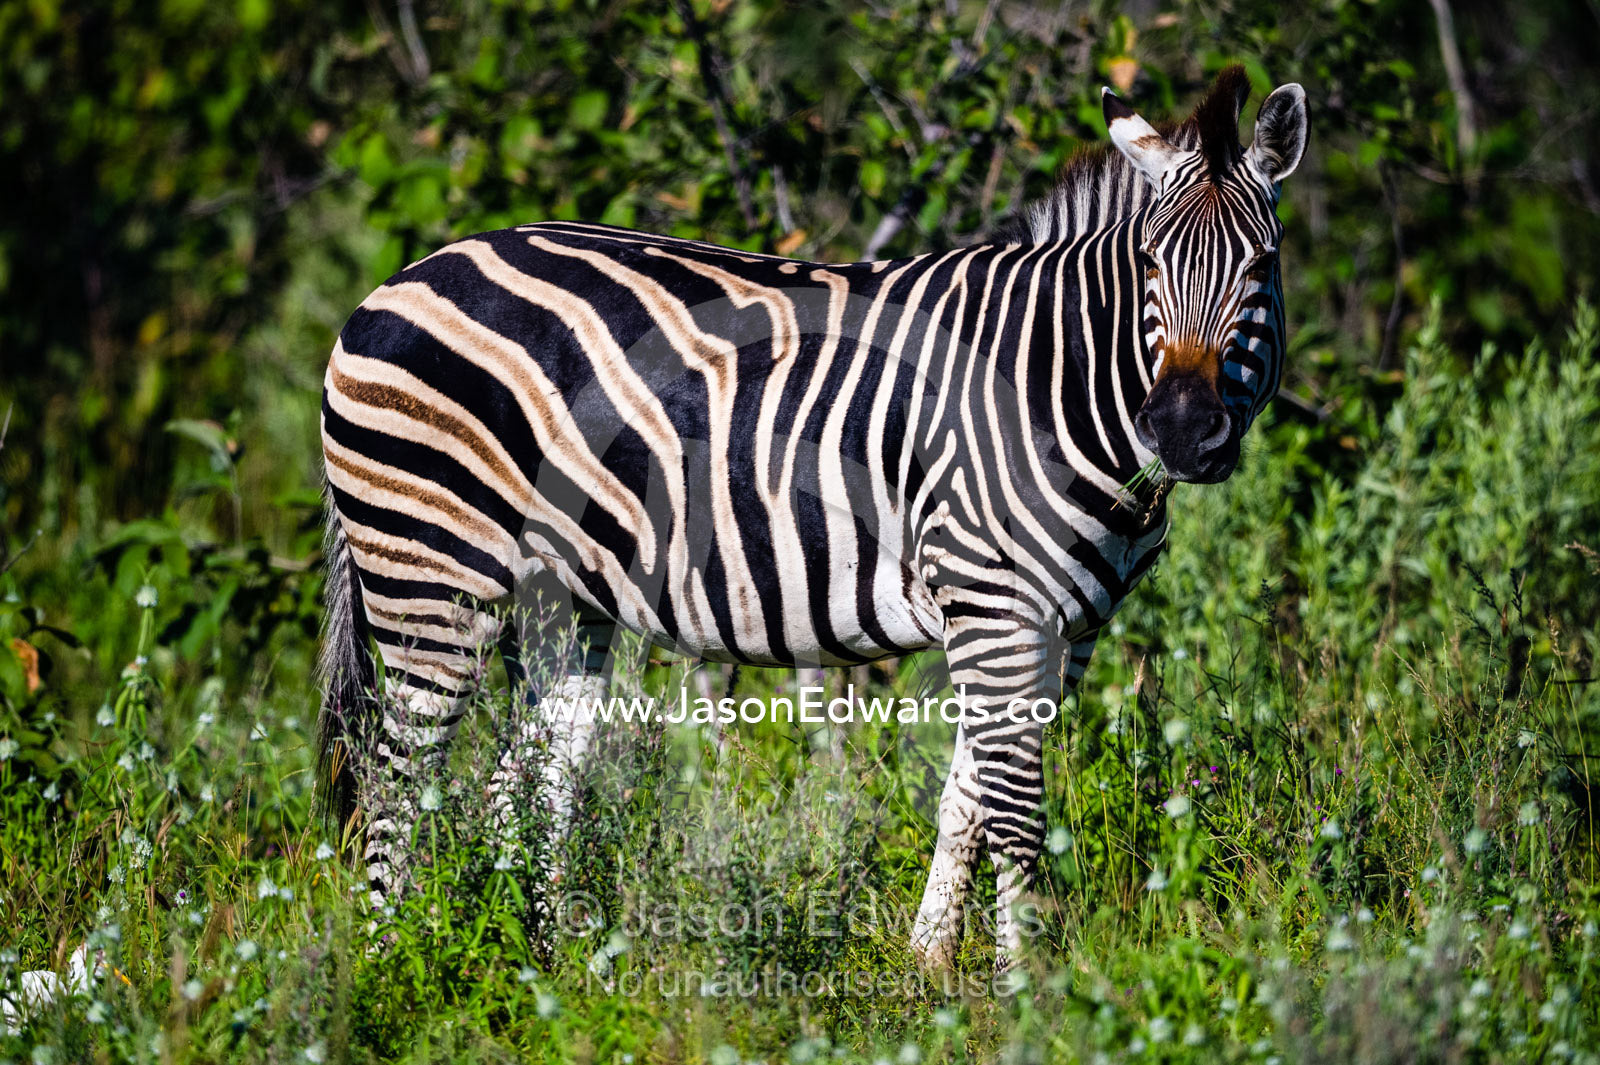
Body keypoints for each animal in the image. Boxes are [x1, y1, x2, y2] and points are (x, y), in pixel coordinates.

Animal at [317, 65, 1307, 968]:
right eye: (1150, 264)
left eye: (1262, 266)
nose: (1181, 430)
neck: (1053, 383)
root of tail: (400, 279)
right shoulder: (993, 602)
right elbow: (1016, 812)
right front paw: (1034, 991)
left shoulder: (1071, 623)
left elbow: (969, 801)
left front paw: (930, 969)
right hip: (432, 570)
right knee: (396, 776)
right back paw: (391, 975)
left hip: (557, 594)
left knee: (526, 781)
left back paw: (548, 975)